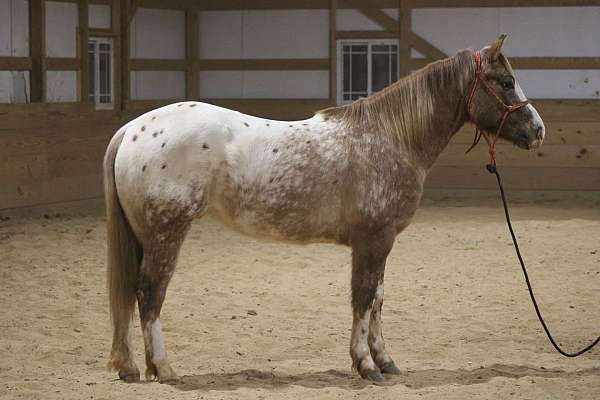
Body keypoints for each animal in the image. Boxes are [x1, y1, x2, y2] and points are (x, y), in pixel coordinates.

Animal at [103, 35, 544, 384]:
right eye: (506, 82)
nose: (538, 130)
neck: (390, 138)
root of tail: (131, 129)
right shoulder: (373, 241)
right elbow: (363, 298)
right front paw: (366, 365)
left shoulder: (380, 243)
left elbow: (378, 297)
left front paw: (385, 360)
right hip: (167, 234)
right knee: (150, 293)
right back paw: (163, 368)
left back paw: (130, 367)